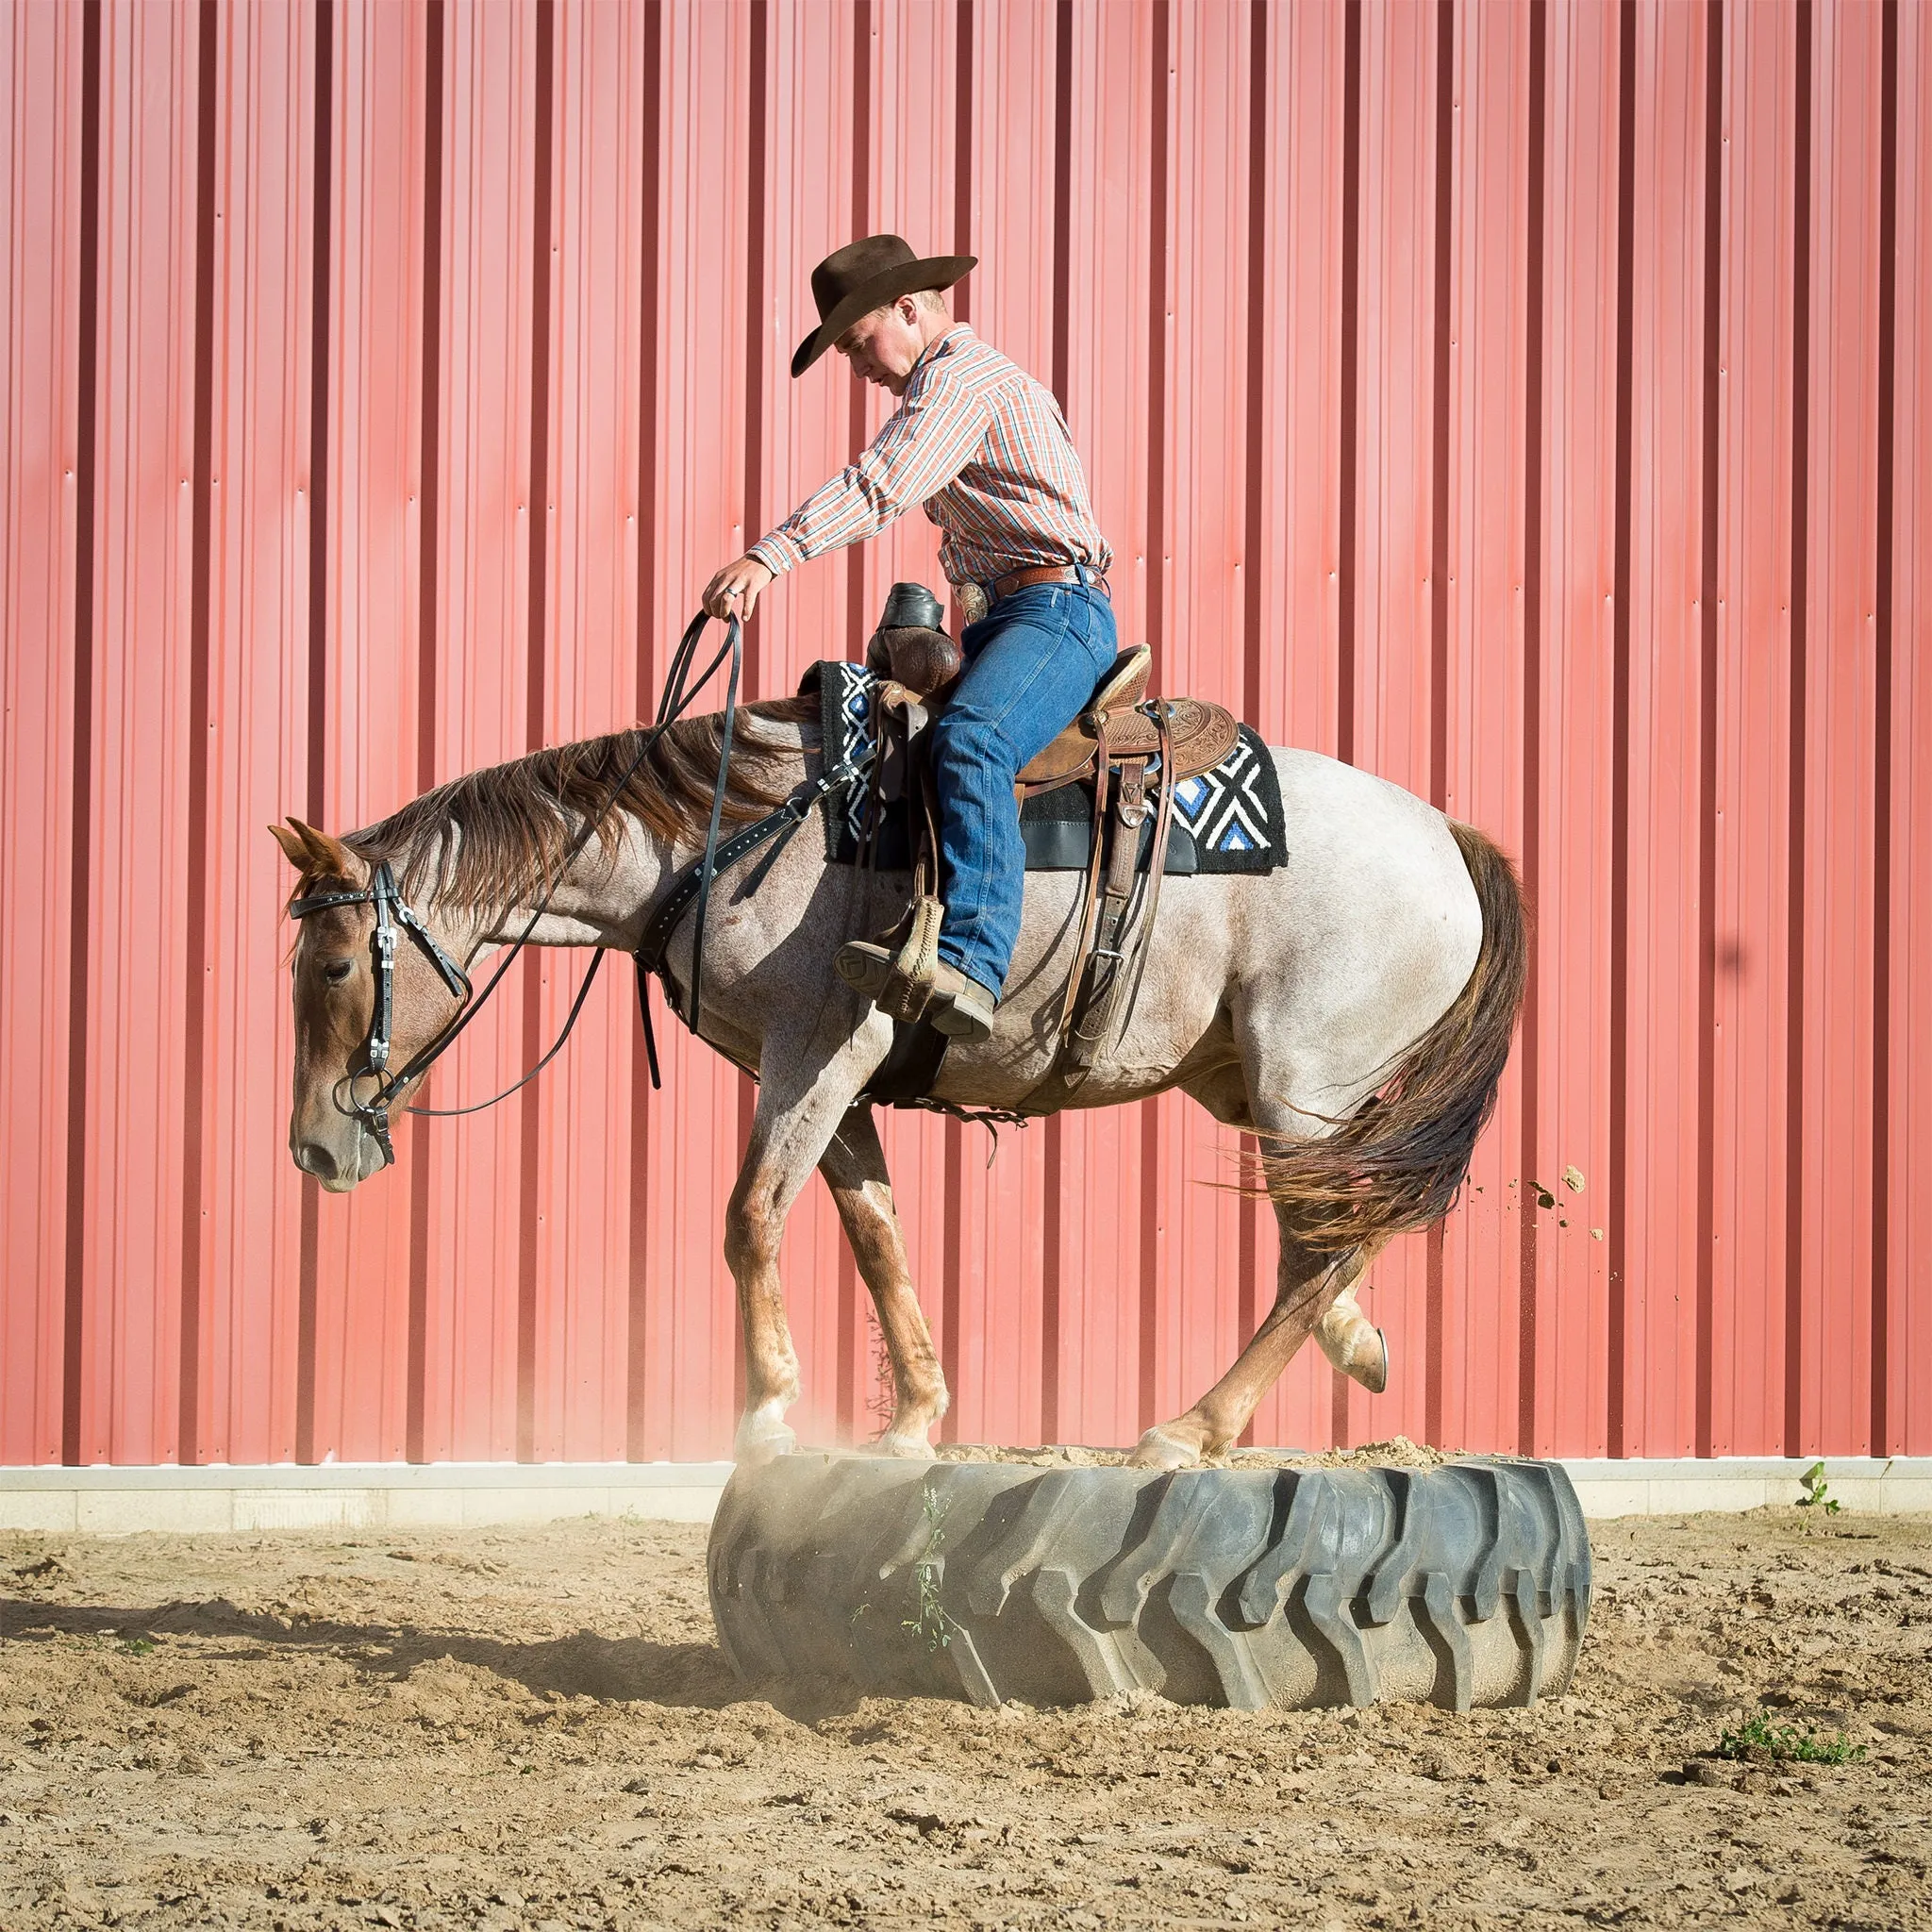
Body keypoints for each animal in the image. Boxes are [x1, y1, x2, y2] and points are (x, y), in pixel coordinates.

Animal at [275, 672, 1522, 1468]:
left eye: (333, 963)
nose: (315, 1147)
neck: (726, 833)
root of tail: (1446, 836)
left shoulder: (818, 1047)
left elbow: (752, 1216)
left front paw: (768, 1414)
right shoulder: (832, 1073)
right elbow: (872, 1228)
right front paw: (915, 1413)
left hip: (1299, 1077)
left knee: (1314, 1242)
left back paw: (1189, 1426)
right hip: (1282, 1091)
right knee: (1345, 1227)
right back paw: (1353, 1343)